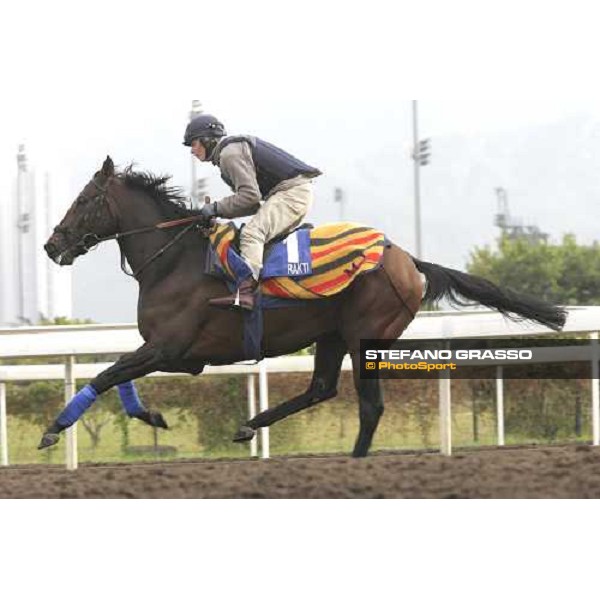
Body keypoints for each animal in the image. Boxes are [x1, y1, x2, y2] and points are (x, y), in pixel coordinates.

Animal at [39, 157, 564, 458]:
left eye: (83, 200)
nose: (51, 245)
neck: (173, 261)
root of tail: (405, 257)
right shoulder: (177, 355)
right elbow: (117, 376)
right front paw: (152, 418)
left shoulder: (169, 348)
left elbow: (106, 374)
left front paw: (53, 430)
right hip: (331, 336)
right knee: (320, 389)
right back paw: (250, 426)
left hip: (365, 337)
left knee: (369, 405)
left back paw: (354, 461)